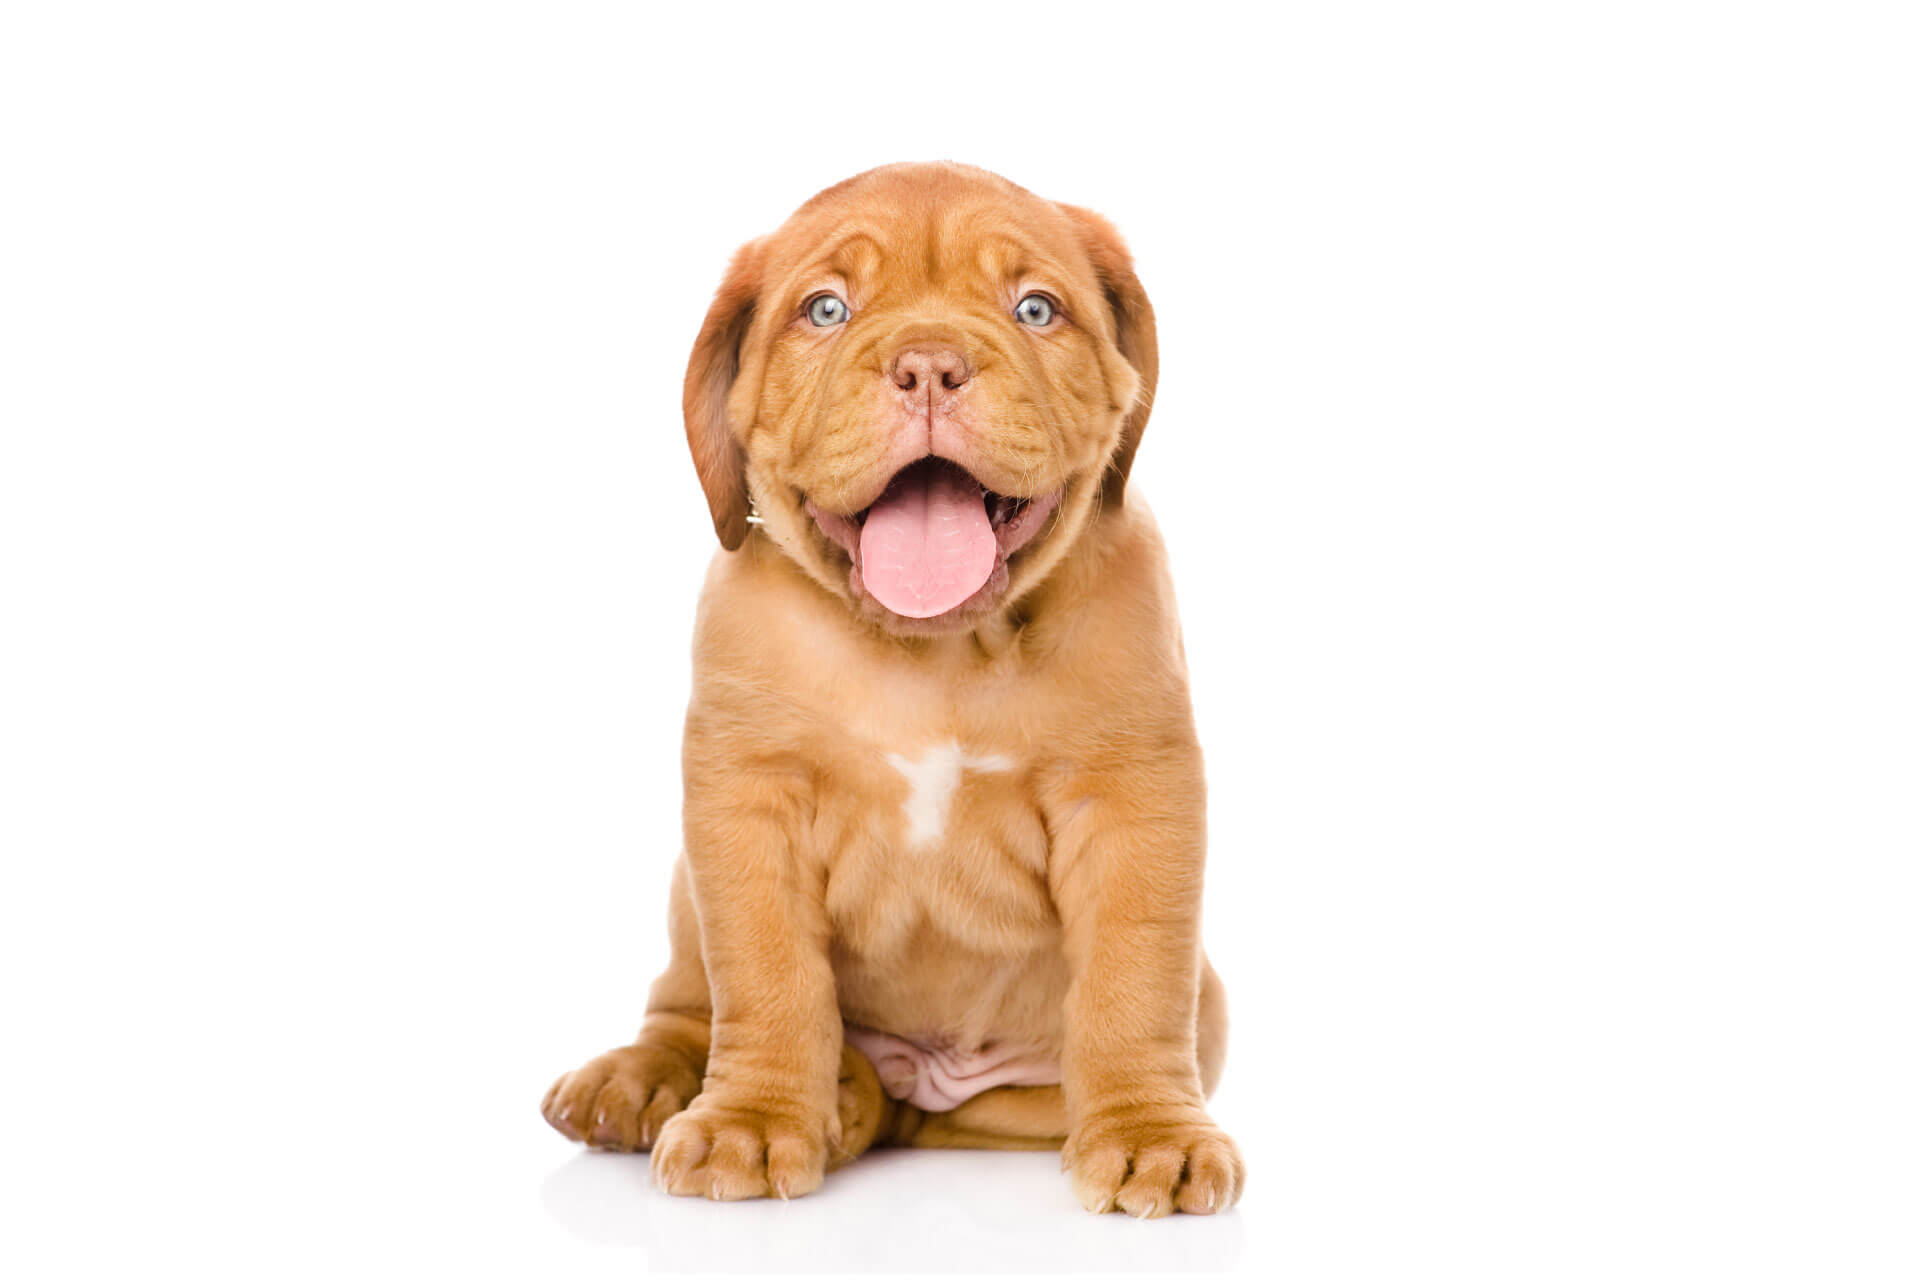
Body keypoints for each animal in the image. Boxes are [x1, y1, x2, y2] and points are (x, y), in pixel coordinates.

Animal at [541, 165, 1244, 1220]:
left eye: (1036, 309)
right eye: (826, 310)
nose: (928, 365)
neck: (935, 650)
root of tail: (924, 1082)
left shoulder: (1132, 801)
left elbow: (1132, 979)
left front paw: (1150, 1136)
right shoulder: (746, 806)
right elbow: (767, 977)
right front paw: (753, 1120)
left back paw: (855, 1101)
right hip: (681, 892)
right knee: (688, 1003)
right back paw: (648, 1082)